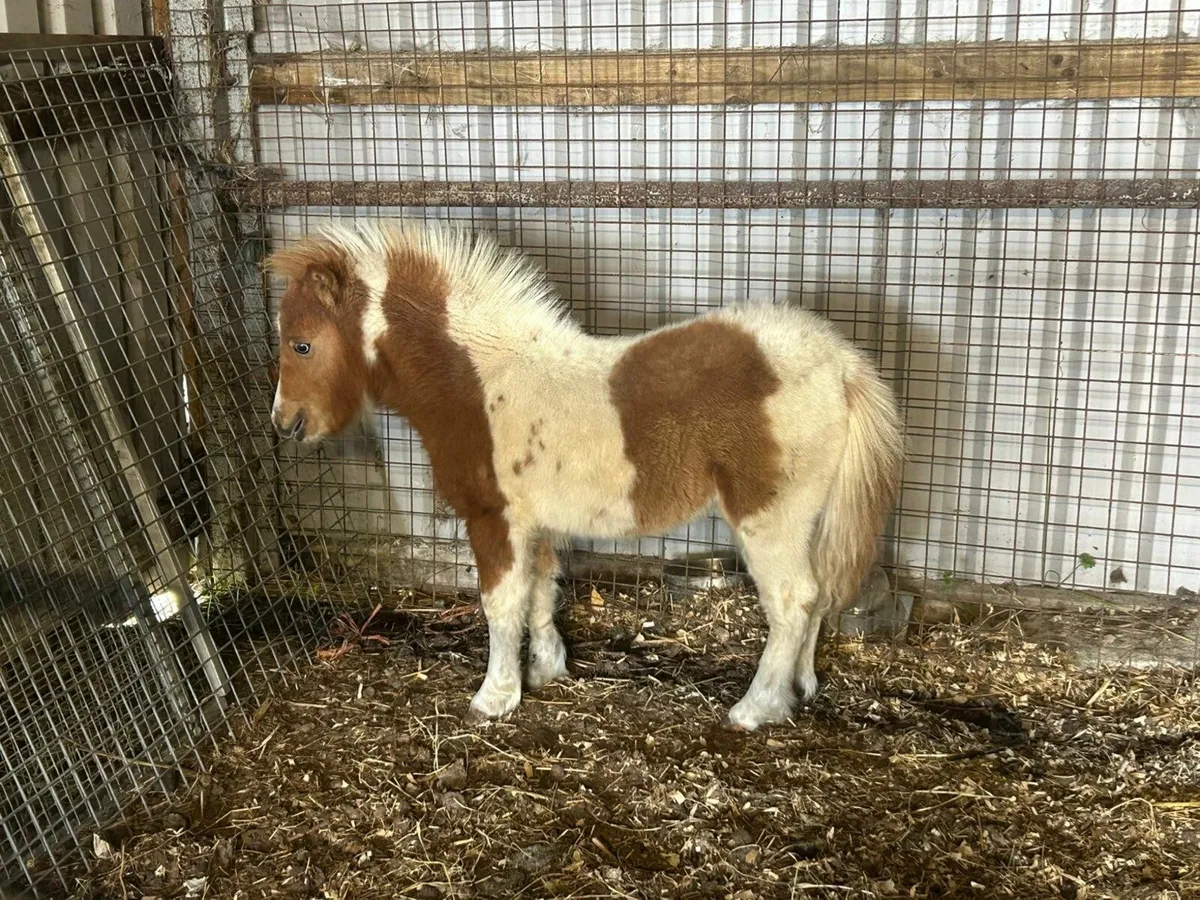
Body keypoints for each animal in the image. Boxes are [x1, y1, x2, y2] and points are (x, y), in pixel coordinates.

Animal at [266, 221, 905, 732]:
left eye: (302, 344)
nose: (284, 423)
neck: (480, 381)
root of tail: (841, 363)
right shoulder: (538, 522)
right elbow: (542, 591)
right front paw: (546, 671)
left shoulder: (494, 520)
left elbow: (501, 603)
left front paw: (494, 697)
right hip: (806, 519)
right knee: (817, 596)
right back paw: (800, 688)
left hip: (770, 517)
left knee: (793, 601)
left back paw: (756, 708)